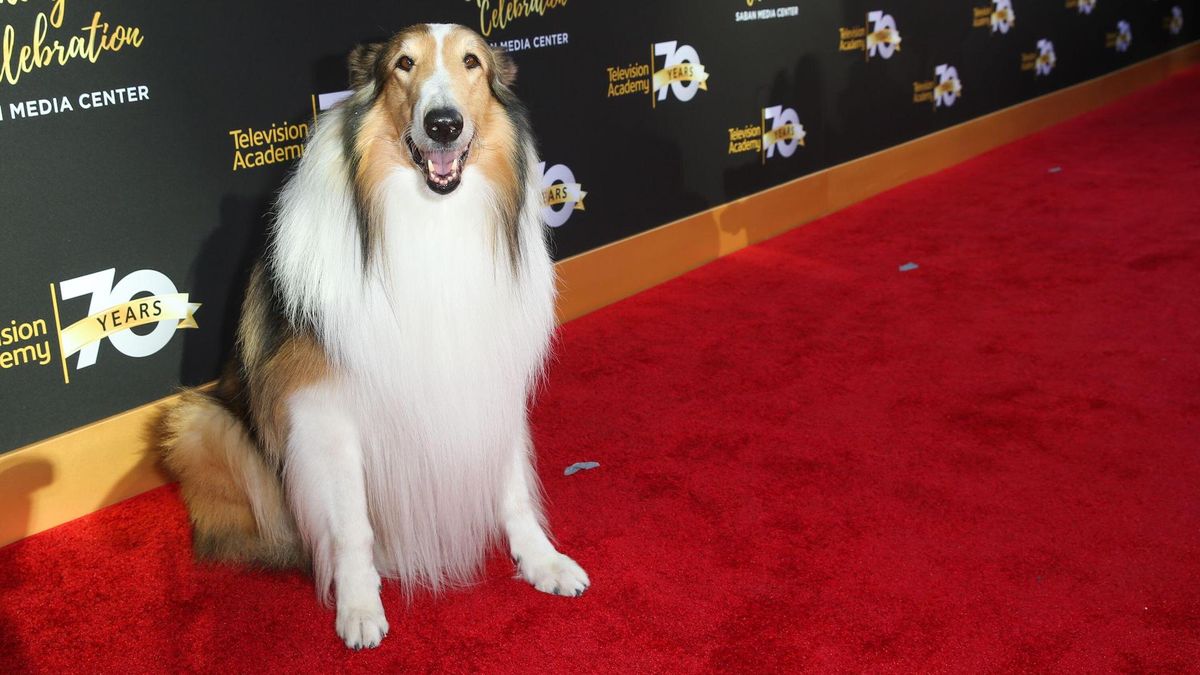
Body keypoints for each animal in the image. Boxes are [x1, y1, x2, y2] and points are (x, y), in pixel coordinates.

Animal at [157, 24, 588, 648]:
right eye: (404, 64)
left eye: (473, 62)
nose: (443, 124)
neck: (431, 220)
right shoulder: (326, 412)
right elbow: (350, 524)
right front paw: (359, 604)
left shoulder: (490, 375)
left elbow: (512, 490)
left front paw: (542, 561)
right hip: (198, 424)